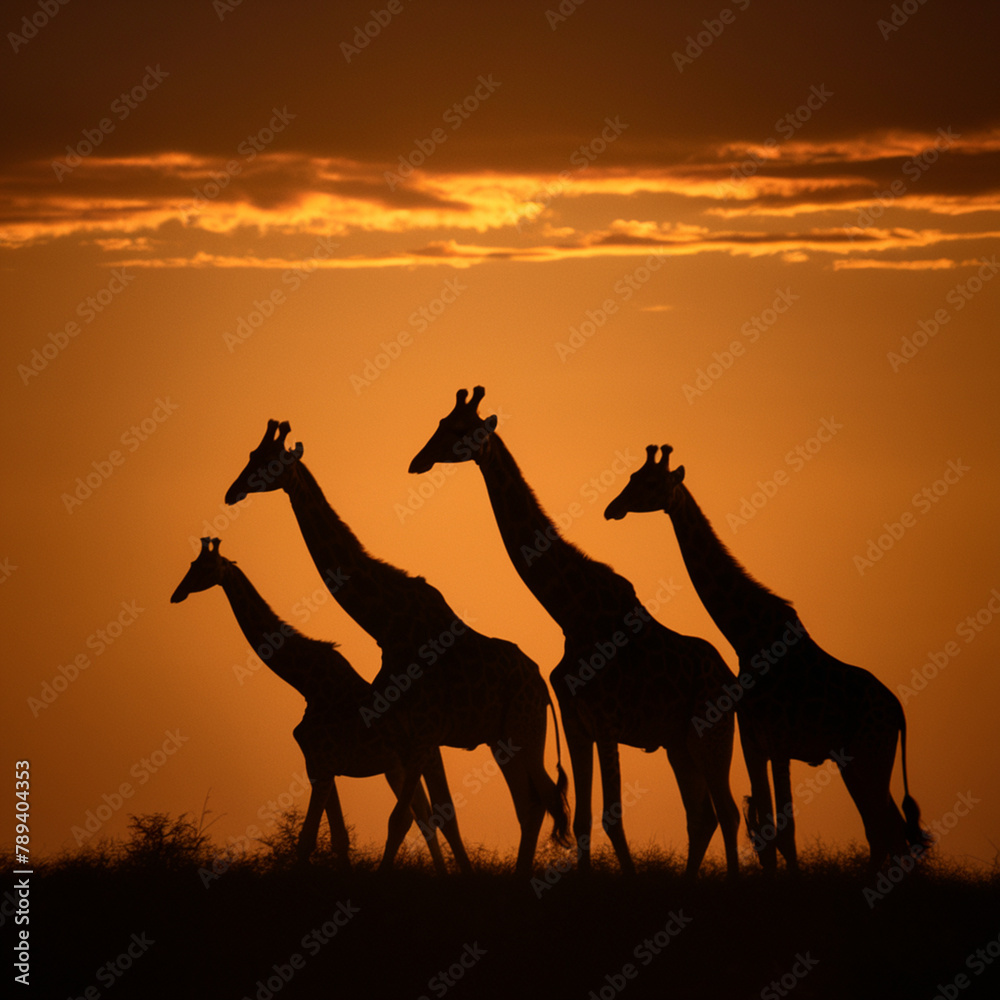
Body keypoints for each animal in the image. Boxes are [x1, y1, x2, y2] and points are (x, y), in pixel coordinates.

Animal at [170, 536, 466, 871]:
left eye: (206, 567)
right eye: (192, 564)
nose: (177, 594)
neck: (305, 684)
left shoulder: (322, 765)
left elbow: (307, 838)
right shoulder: (319, 766)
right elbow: (338, 838)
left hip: (419, 759)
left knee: (426, 816)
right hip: (400, 766)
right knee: (425, 816)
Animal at [222, 421, 570, 876]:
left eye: (269, 460)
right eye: (250, 454)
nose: (232, 492)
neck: (388, 624)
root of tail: (540, 684)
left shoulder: (421, 735)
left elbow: (402, 817)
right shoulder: (410, 740)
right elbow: (422, 815)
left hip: (523, 728)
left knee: (538, 801)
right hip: (503, 738)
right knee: (532, 803)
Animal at [408, 387, 741, 877]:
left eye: (457, 428)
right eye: (438, 422)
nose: (418, 461)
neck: (570, 612)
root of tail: (730, 679)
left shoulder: (606, 722)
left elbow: (612, 816)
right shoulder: (575, 720)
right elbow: (583, 818)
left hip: (711, 732)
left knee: (729, 814)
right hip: (678, 742)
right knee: (703, 817)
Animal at [604, 444, 930, 872]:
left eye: (651, 483)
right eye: (631, 477)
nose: (612, 509)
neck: (748, 637)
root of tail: (899, 712)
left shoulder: (778, 741)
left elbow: (785, 832)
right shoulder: (752, 741)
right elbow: (768, 831)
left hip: (871, 754)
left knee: (889, 831)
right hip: (856, 761)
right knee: (884, 830)